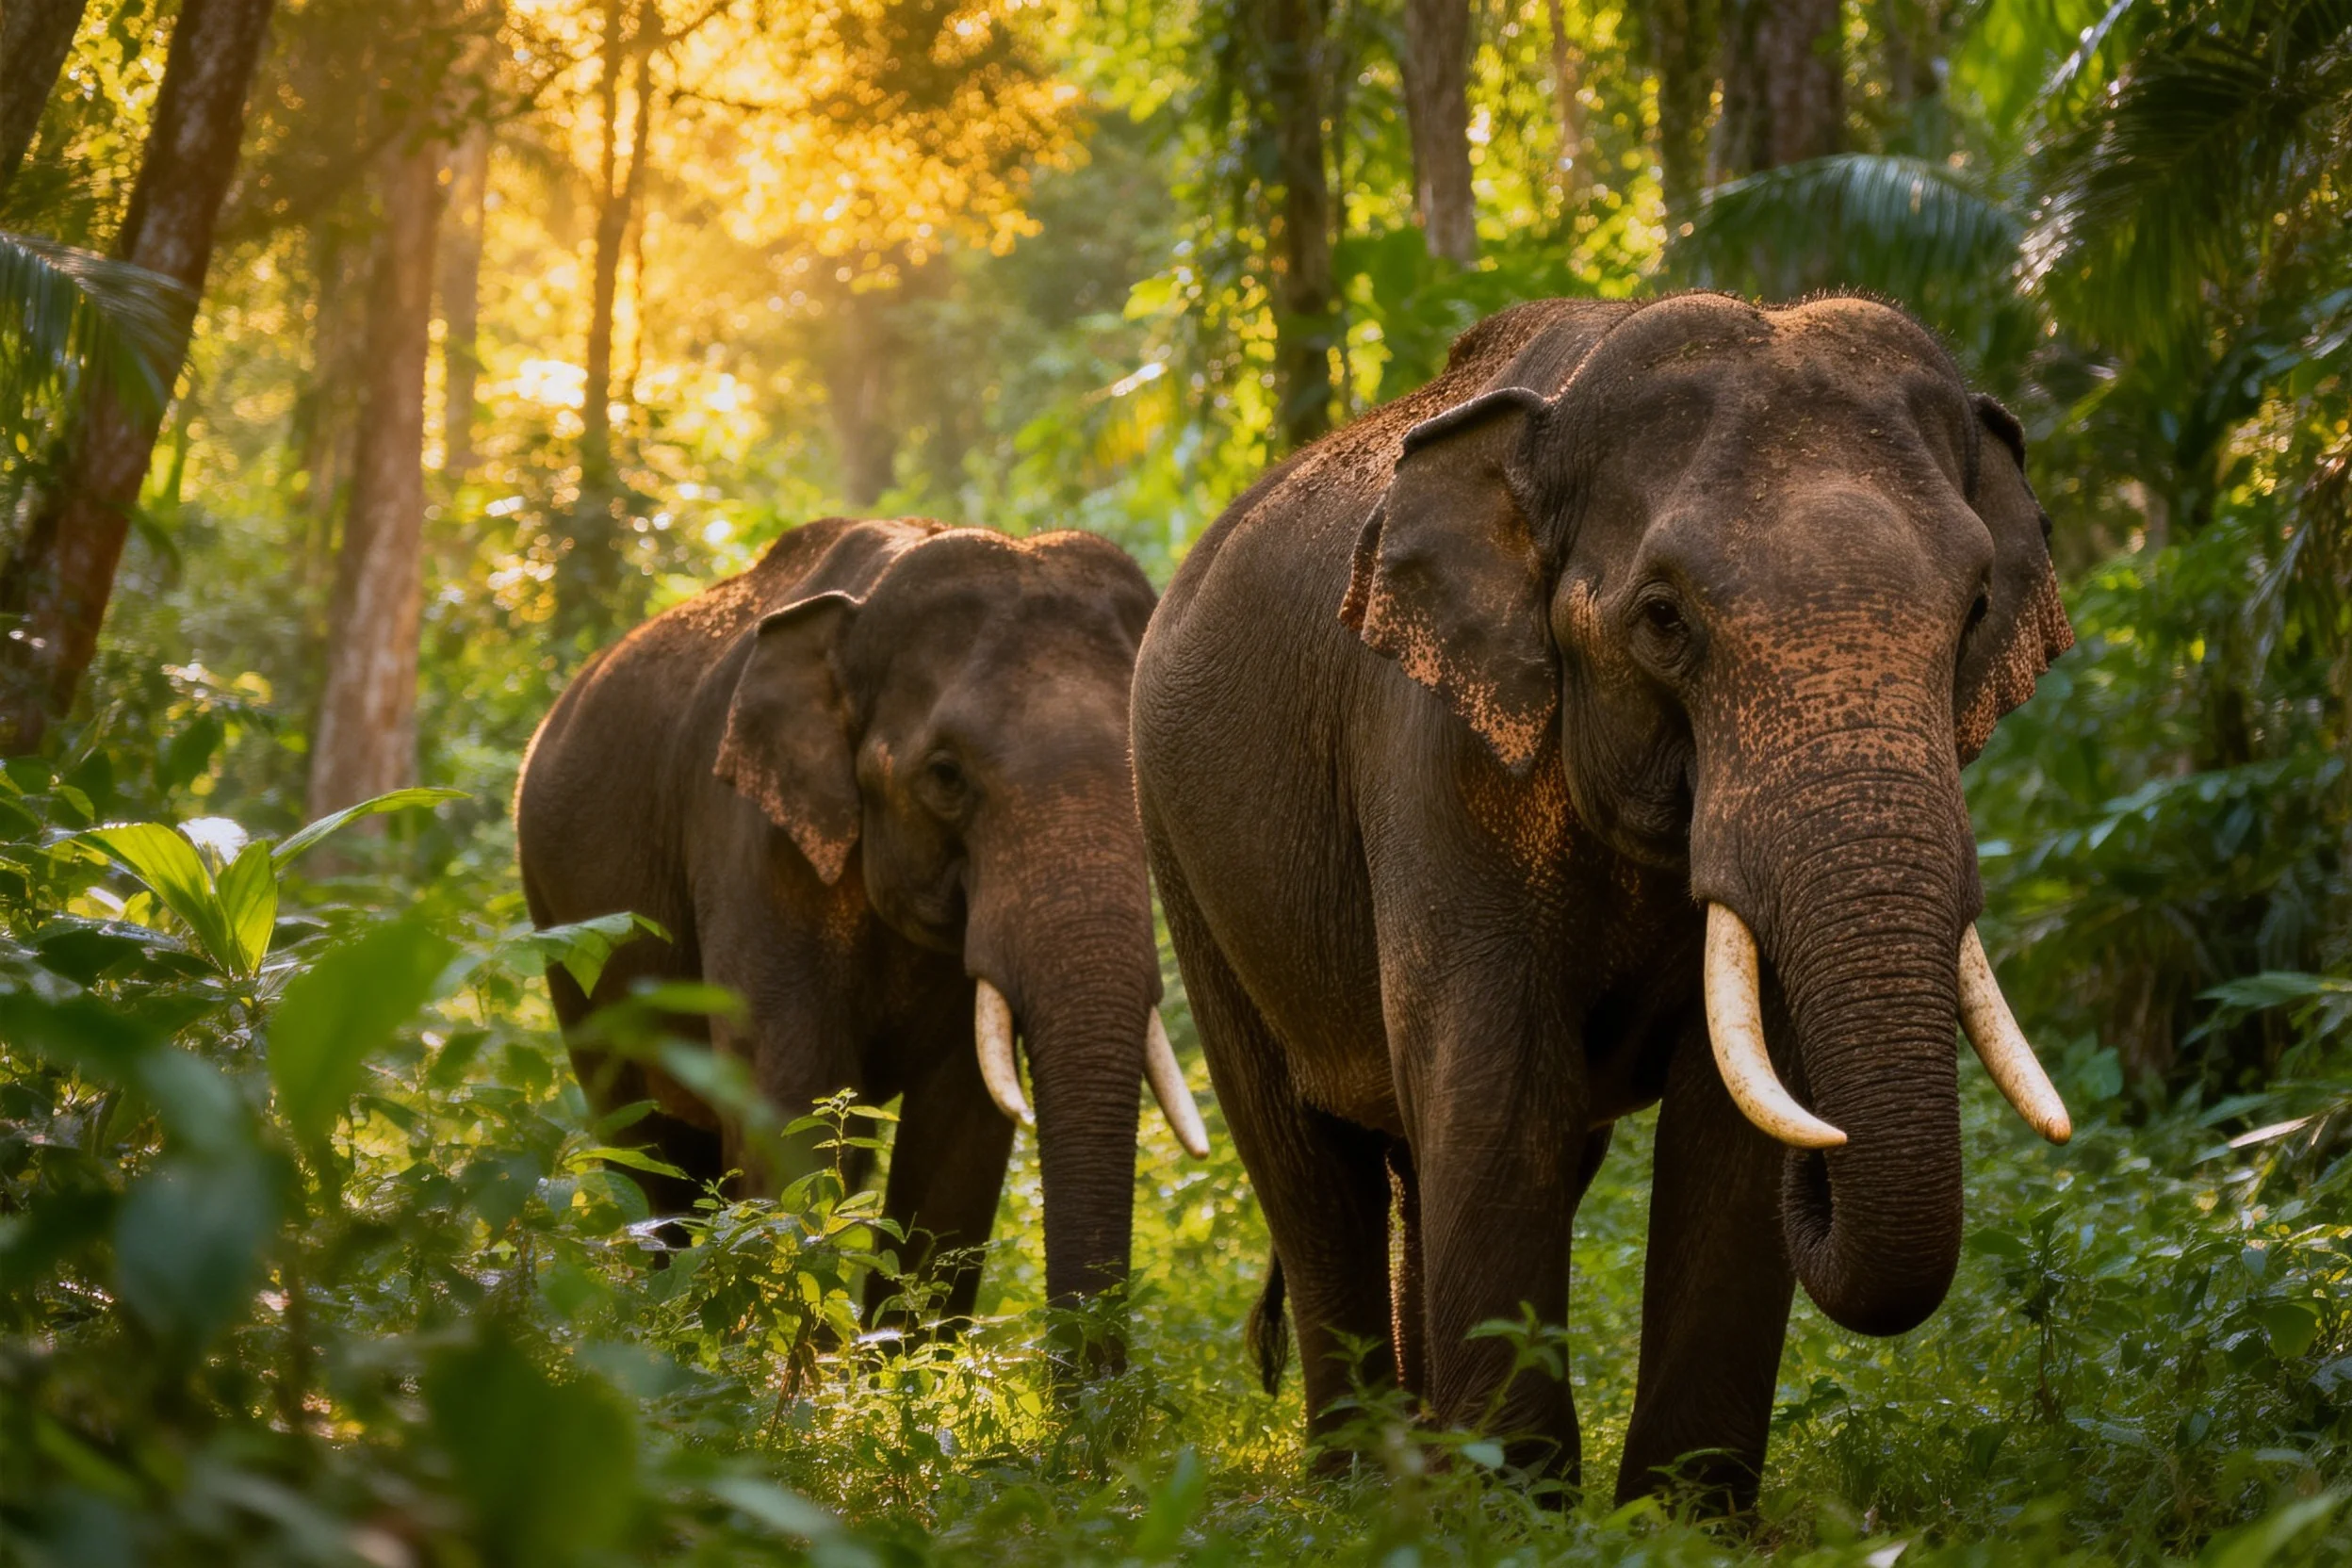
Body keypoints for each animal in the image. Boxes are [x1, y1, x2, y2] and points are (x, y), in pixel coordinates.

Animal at [516, 516, 1207, 1332]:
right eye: (946, 776)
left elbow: (957, 1146)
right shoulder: (751, 846)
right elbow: (791, 1114)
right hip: (565, 933)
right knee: (649, 1152)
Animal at [1130, 293, 2076, 1506]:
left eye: (1973, 611)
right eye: (1665, 618)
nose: (1827, 1166)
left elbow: (1726, 1121)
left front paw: (1678, 1516)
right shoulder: (1436, 754)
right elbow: (1499, 1080)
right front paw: (1518, 1508)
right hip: (1181, 850)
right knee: (1307, 1161)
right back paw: (1363, 1490)